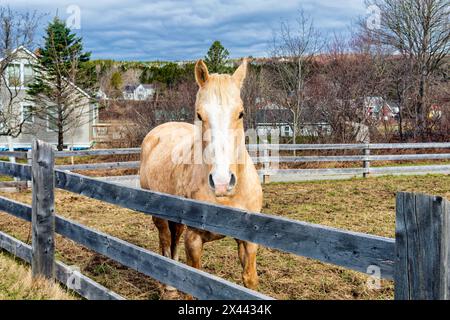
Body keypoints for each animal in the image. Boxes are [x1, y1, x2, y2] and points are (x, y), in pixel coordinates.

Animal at [139, 58, 262, 296]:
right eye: (199, 115)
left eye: (241, 113)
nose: (222, 182)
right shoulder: (194, 240)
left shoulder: (248, 240)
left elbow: (250, 280)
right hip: (158, 214)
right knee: (165, 239)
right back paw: (168, 286)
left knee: (173, 237)